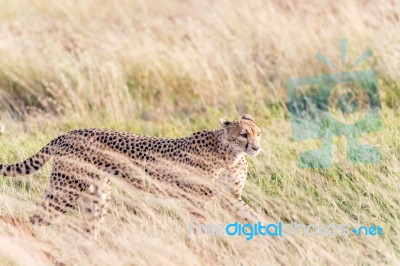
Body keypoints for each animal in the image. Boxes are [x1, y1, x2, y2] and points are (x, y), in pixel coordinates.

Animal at [0, 114, 262, 237]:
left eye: (258, 133)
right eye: (243, 134)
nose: (256, 147)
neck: (230, 154)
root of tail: (69, 133)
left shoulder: (230, 197)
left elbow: (252, 217)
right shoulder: (195, 200)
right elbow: (199, 228)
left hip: (97, 196)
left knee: (89, 229)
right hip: (65, 191)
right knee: (35, 219)